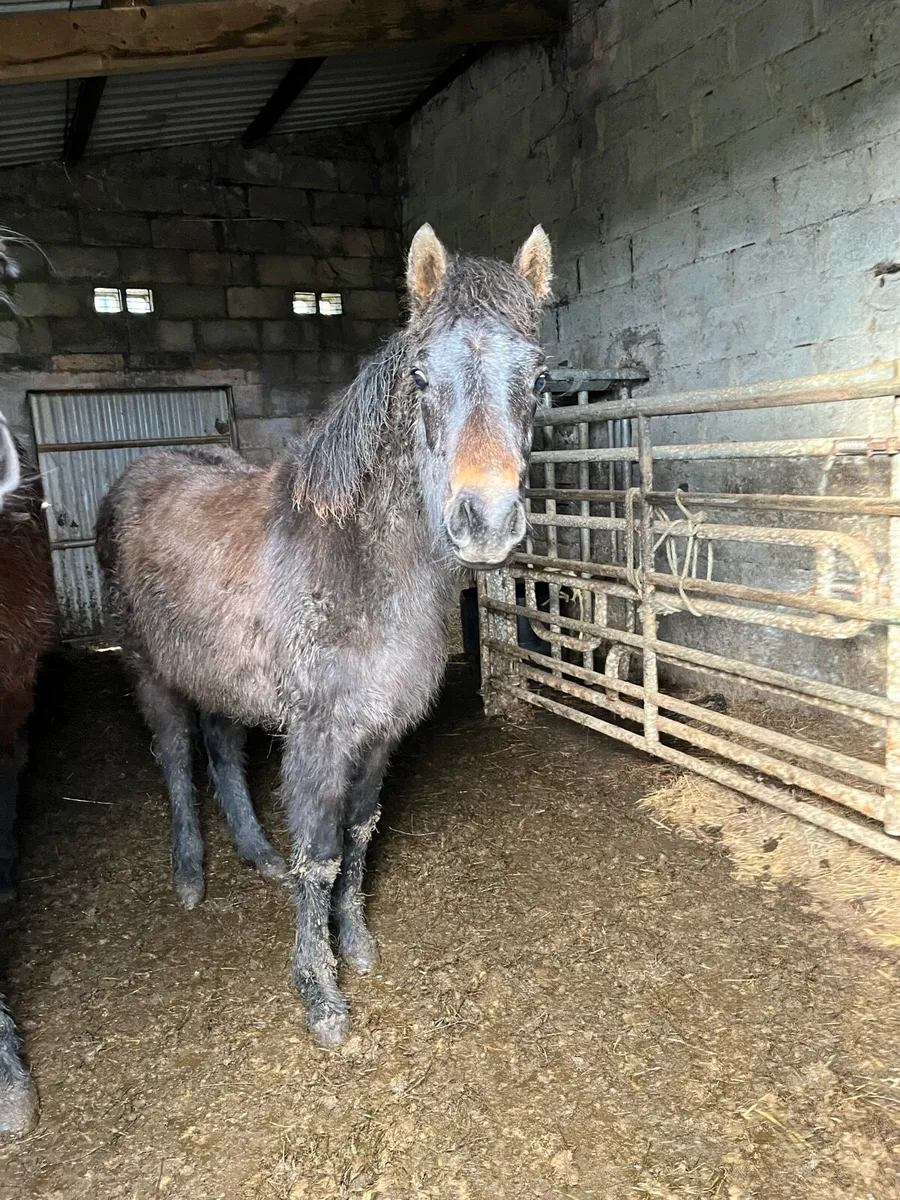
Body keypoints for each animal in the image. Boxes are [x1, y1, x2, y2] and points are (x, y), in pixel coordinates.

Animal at [96, 224, 552, 1046]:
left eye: (537, 378)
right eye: (420, 378)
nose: (487, 521)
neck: (357, 565)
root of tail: (134, 475)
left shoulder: (379, 731)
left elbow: (359, 836)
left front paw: (358, 944)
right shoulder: (318, 735)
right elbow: (320, 853)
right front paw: (320, 994)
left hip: (222, 679)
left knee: (221, 751)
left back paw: (256, 857)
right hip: (150, 671)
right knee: (177, 759)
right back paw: (190, 877)